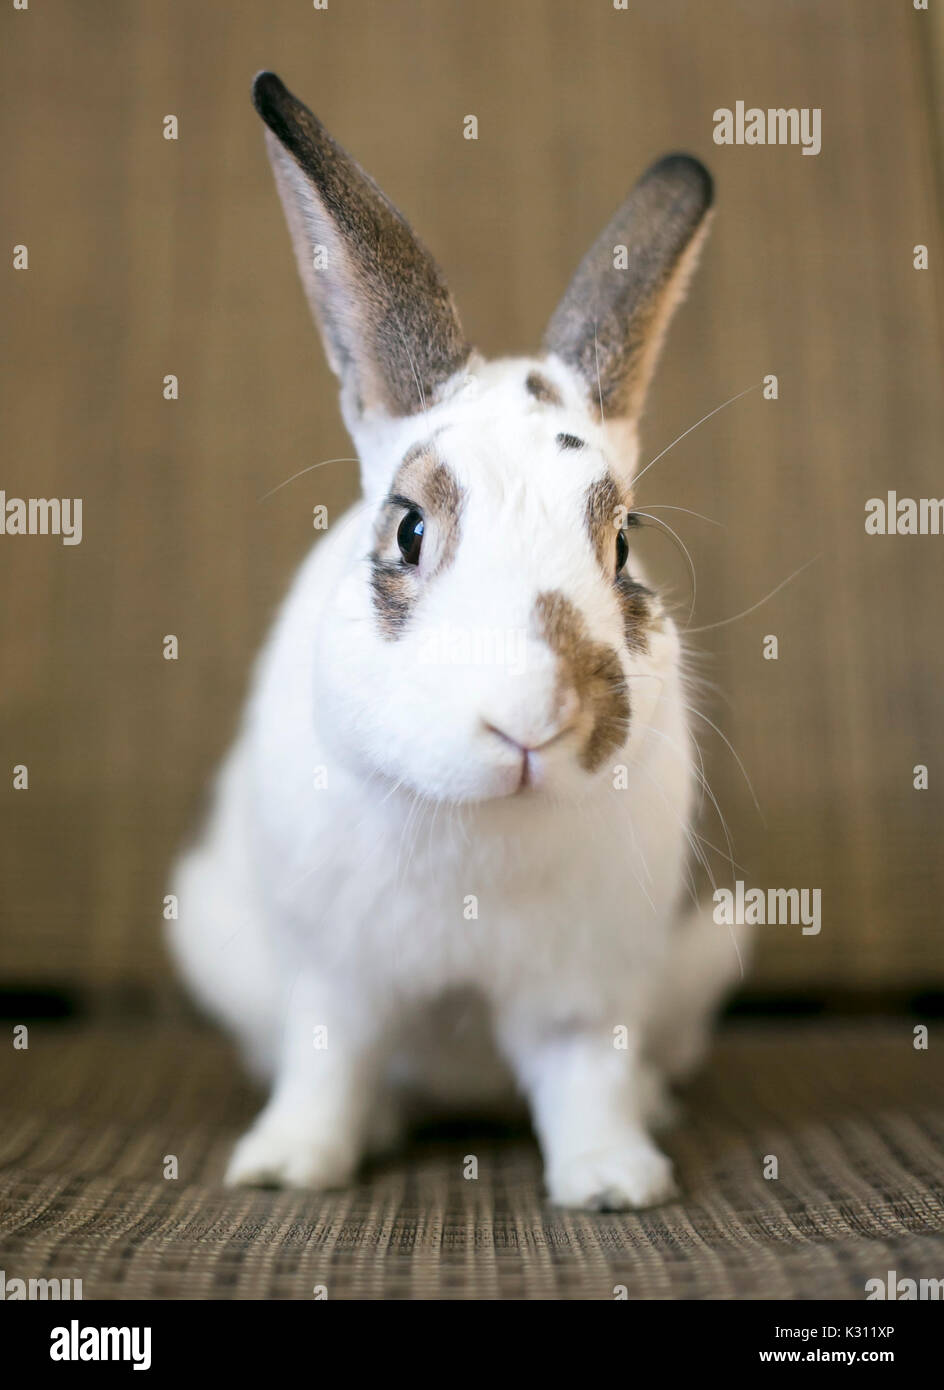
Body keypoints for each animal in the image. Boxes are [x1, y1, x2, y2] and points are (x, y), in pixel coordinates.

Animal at [166, 70, 750, 1212]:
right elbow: (326, 1066)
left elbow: (586, 1078)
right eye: (407, 529)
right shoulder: (332, 979)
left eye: (623, 541)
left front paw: (615, 1182)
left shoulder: (586, 992)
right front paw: (286, 1168)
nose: (535, 717)